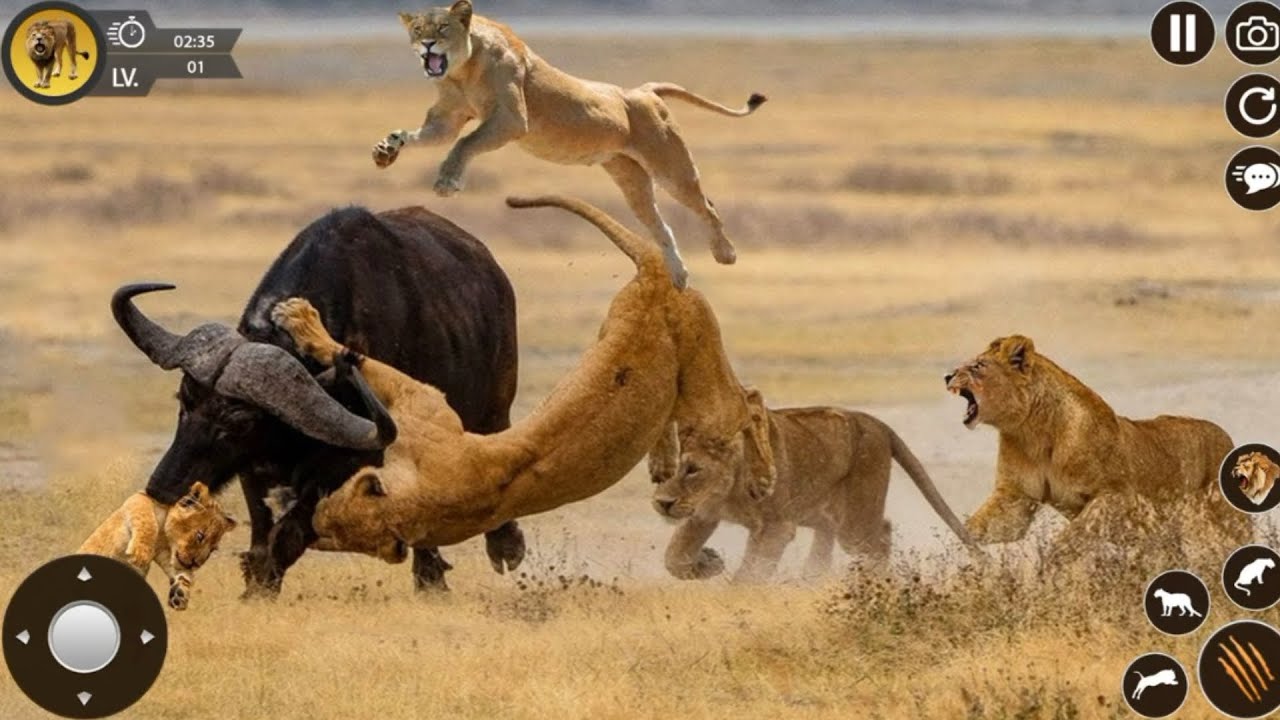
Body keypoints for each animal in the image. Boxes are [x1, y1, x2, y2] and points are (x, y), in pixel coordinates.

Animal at [79, 482, 237, 610]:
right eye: (200, 536)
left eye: (212, 549)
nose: (195, 564)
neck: (162, 536)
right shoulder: (139, 498)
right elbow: (147, 521)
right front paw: (140, 554)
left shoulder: (164, 553)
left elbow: (182, 573)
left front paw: (181, 594)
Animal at [265, 196, 769, 561]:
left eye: (327, 520)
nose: (298, 513)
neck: (428, 500)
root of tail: (655, 270)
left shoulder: (426, 408)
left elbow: (365, 361)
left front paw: (299, 317)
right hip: (641, 352)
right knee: (689, 410)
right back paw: (662, 464)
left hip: (704, 389)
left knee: (750, 400)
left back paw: (763, 479)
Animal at [373, 1, 766, 288]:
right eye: (417, 30)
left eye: (443, 28)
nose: (427, 45)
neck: (461, 70)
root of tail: (641, 90)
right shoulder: (447, 119)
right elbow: (426, 136)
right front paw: (387, 149)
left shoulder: (512, 119)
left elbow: (465, 143)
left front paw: (447, 182)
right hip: (629, 178)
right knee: (659, 224)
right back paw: (680, 276)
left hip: (670, 167)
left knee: (707, 207)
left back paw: (725, 253)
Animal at [650, 388, 980, 582]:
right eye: (660, 472)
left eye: (692, 470)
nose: (662, 503)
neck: (726, 492)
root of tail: (875, 422)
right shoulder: (702, 514)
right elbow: (673, 557)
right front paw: (709, 563)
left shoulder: (776, 527)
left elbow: (753, 571)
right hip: (821, 513)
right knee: (826, 548)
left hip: (854, 523)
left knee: (881, 535)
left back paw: (873, 582)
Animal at [945, 335, 1248, 553]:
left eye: (977, 367)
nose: (947, 376)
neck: (1032, 432)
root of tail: (1224, 435)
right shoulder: (1016, 497)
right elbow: (980, 526)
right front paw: (956, 551)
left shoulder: (1116, 495)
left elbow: (1074, 534)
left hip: (1224, 523)